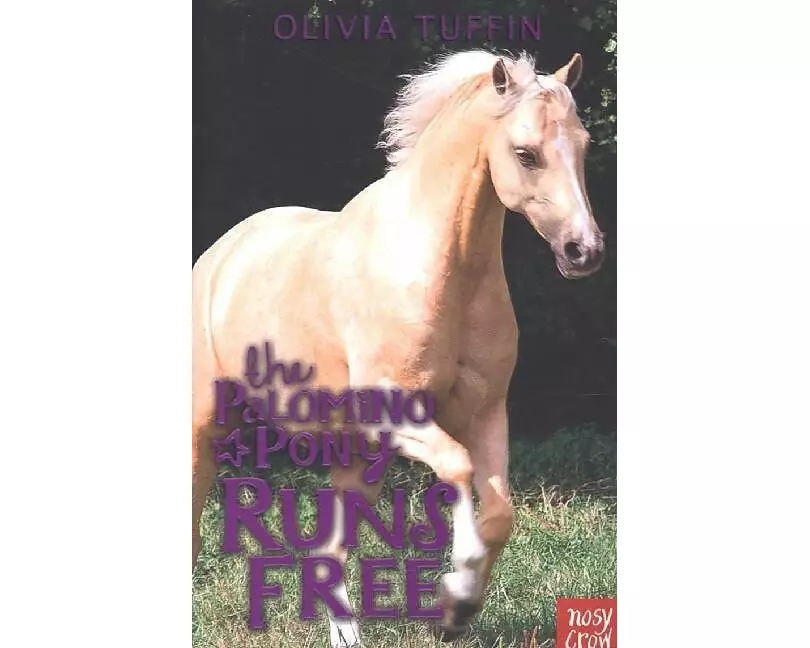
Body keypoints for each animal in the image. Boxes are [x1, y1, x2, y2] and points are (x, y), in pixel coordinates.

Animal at [192, 49, 605, 646]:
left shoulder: (485, 413)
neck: (443, 270)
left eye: (583, 146)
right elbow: (457, 468)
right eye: (525, 153)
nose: (584, 251)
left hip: (357, 456)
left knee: (331, 551)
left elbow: (499, 513)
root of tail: (221, 254)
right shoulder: (401, 416)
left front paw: (458, 610)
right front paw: (456, 594)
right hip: (206, 426)